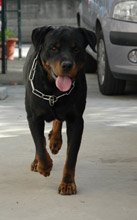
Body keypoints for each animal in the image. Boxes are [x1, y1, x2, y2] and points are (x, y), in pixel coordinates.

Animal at [23, 25, 96, 196]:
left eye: (76, 49)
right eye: (53, 47)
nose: (67, 65)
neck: (53, 91)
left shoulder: (76, 120)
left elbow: (71, 156)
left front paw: (68, 184)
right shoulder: (33, 117)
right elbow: (39, 144)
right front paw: (44, 166)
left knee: (57, 120)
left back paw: (55, 140)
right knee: (40, 141)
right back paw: (38, 161)